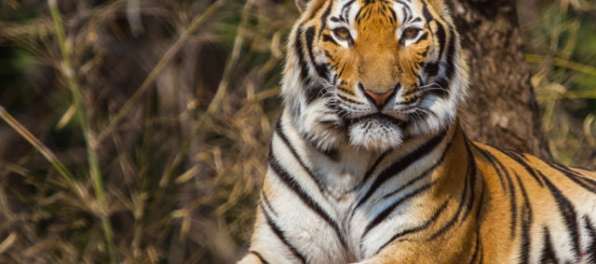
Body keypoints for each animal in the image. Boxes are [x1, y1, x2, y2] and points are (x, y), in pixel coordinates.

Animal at [236, 0, 596, 262]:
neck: (347, 158)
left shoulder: (420, 243)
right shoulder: (277, 247)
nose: (379, 94)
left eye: (409, 34)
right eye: (343, 34)